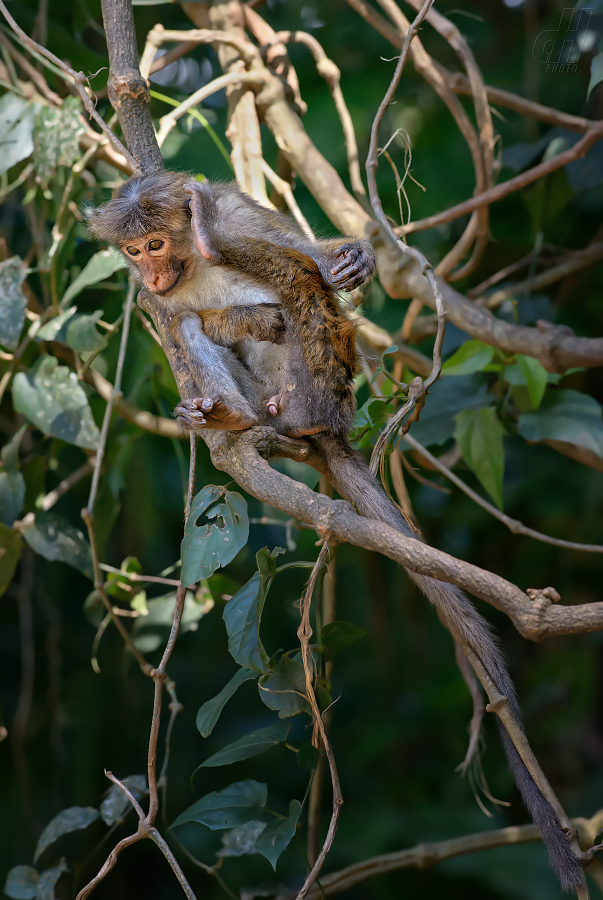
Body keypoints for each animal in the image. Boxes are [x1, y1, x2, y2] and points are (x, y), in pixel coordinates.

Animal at [88, 172, 584, 888]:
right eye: (131, 251)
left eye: (154, 243)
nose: (150, 271)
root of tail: (311, 421)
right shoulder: (149, 299)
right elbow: (177, 324)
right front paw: (224, 325)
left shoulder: (237, 213)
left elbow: (293, 254)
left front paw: (344, 262)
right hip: (261, 390)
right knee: (194, 324)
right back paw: (229, 415)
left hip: (314, 376)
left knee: (300, 290)